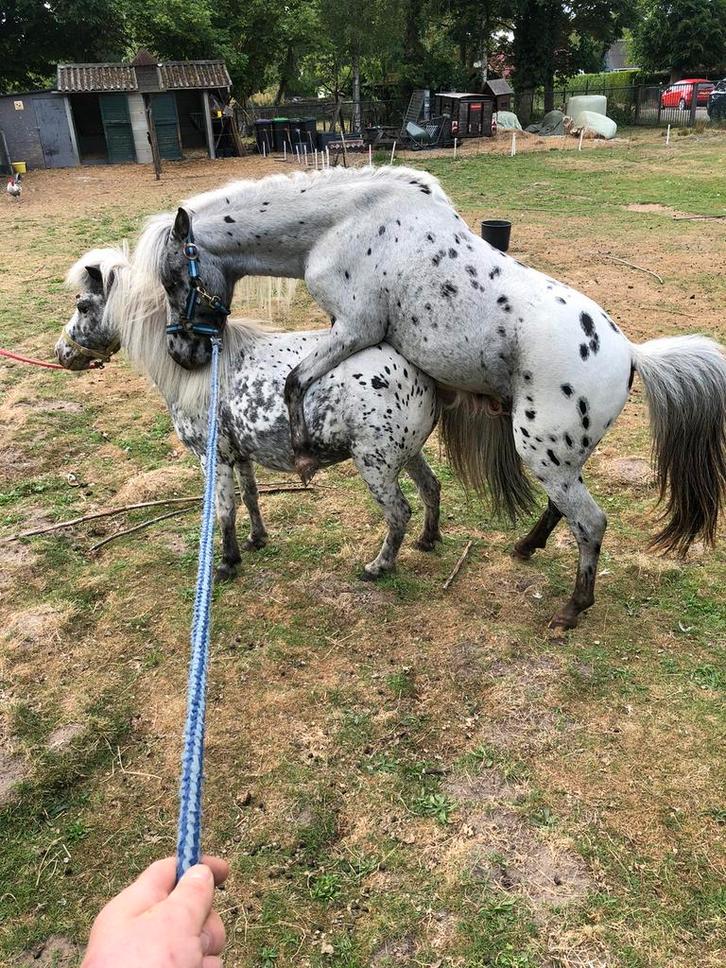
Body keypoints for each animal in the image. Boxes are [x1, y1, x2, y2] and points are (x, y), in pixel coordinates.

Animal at [55, 246, 444, 581]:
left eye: (84, 307)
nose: (61, 352)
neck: (202, 371)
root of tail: (419, 372)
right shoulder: (239, 455)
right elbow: (249, 496)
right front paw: (256, 540)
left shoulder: (213, 457)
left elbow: (224, 509)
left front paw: (227, 563)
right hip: (407, 454)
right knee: (431, 487)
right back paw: (427, 540)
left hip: (375, 464)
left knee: (398, 512)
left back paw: (378, 567)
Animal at [124, 165, 726, 628]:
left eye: (174, 279)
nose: (183, 353)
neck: (342, 223)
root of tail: (630, 355)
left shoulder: (355, 328)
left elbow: (297, 379)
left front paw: (303, 449)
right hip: (556, 460)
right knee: (565, 511)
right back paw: (525, 549)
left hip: (542, 452)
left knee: (591, 523)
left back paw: (572, 609)